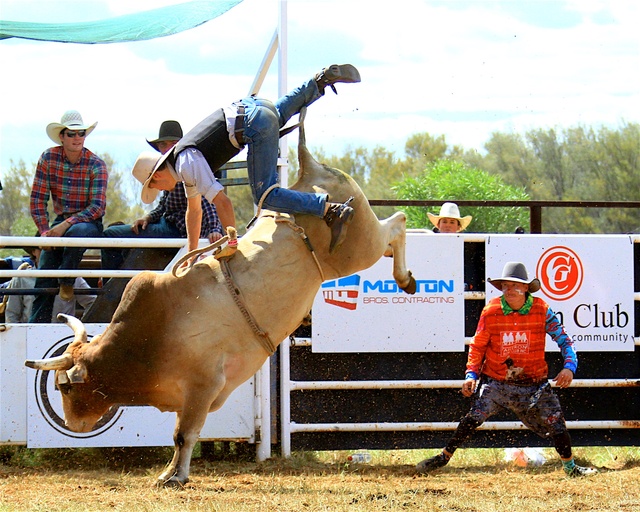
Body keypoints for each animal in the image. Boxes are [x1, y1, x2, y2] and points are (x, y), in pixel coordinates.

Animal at [25, 121, 417, 488]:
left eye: (63, 386)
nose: (73, 424)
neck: (153, 334)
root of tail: (310, 171)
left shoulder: (203, 385)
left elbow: (184, 435)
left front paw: (177, 477)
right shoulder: (187, 395)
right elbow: (181, 435)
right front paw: (169, 472)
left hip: (361, 246)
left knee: (398, 223)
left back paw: (404, 277)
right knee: (391, 234)